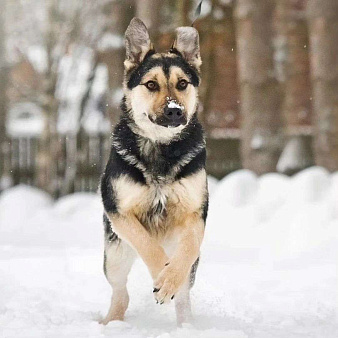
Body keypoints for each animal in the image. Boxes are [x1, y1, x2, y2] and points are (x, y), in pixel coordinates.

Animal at [99, 17, 207, 324]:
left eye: (182, 83)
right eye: (150, 84)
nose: (174, 111)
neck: (161, 148)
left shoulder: (195, 214)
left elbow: (188, 247)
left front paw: (169, 279)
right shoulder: (119, 211)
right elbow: (147, 244)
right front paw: (162, 273)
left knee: (184, 292)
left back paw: (185, 324)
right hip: (115, 253)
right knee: (120, 291)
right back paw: (111, 322)